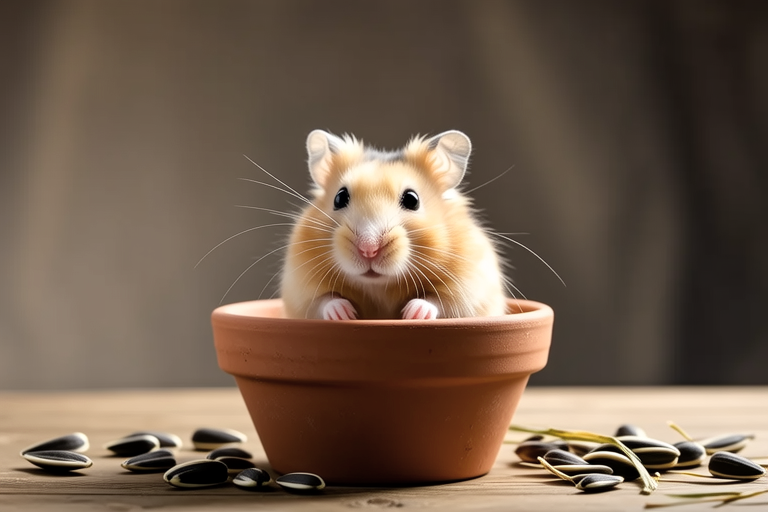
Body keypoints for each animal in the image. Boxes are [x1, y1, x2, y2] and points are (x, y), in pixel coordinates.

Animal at [280, 129, 507, 320]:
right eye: (339, 198)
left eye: (412, 200)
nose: (368, 249)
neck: (380, 286)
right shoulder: (300, 287)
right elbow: (323, 300)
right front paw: (345, 314)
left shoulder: (470, 287)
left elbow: (440, 301)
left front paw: (412, 313)